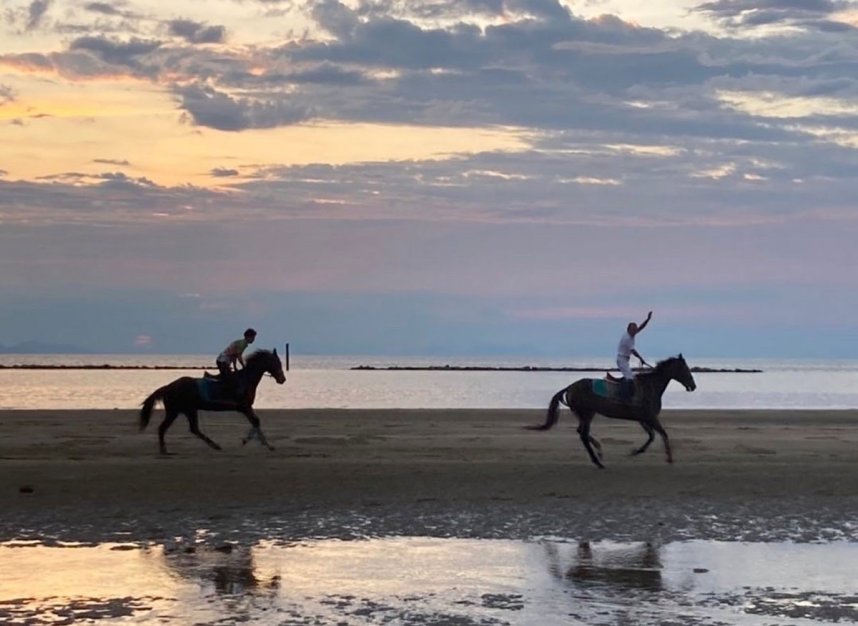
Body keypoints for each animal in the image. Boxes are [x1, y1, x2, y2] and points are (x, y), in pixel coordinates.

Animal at [139, 346, 286, 454]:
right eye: (277, 363)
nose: (282, 379)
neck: (246, 379)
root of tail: (168, 386)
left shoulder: (247, 407)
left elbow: (256, 422)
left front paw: (266, 445)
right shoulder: (244, 407)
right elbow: (256, 421)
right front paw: (249, 441)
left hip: (188, 410)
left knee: (194, 429)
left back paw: (215, 445)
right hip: (175, 411)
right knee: (163, 428)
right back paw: (164, 450)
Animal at [520, 354, 696, 466]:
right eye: (685, 369)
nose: (693, 386)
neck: (651, 386)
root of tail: (570, 387)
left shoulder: (644, 418)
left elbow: (652, 436)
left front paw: (636, 451)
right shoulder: (650, 417)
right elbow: (663, 434)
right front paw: (670, 458)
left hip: (583, 414)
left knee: (580, 431)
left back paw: (599, 451)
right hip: (587, 413)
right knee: (583, 435)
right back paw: (598, 462)